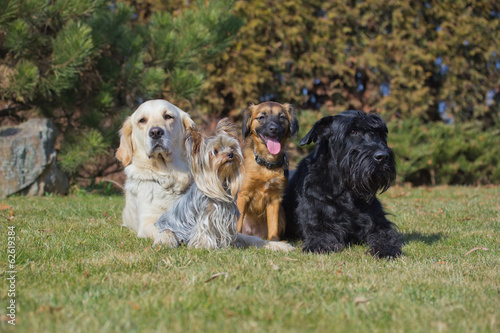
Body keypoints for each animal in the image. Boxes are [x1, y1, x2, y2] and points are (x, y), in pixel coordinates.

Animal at [236, 101, 298, 239]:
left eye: (282, 117)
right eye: (261, 117)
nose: (273, 129)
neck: (266, 165)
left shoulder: (275, 200)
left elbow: (273, 228)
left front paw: (274, 241)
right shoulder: (242, 195)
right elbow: (237, 223)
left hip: (282, 214)